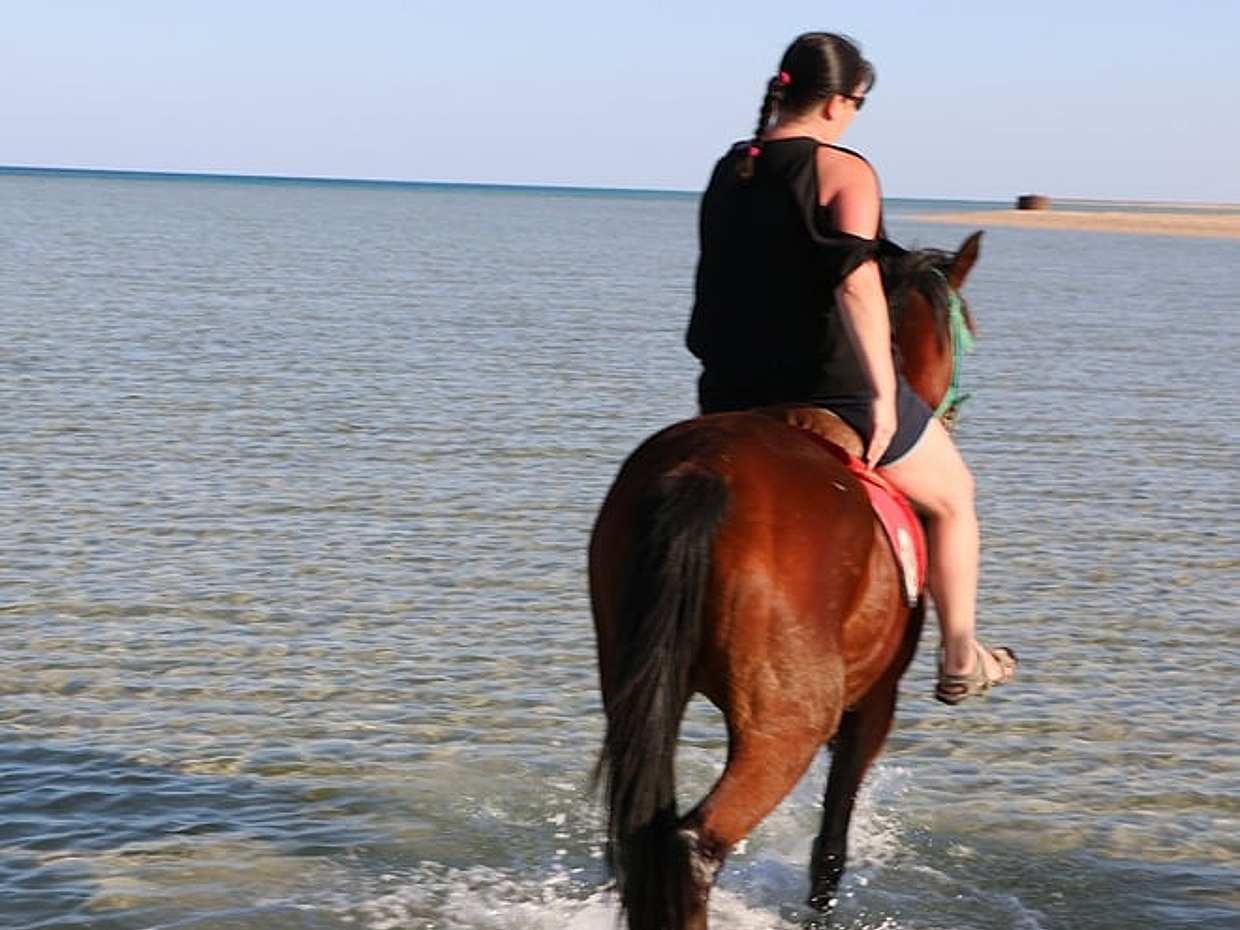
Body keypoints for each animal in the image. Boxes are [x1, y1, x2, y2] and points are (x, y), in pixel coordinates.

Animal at [589, 231, 983, 930]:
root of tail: (702, 471)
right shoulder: (872, 703)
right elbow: (831, 843)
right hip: (790, 723)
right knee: (693, 844)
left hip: (635, 687)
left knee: (644, 836)